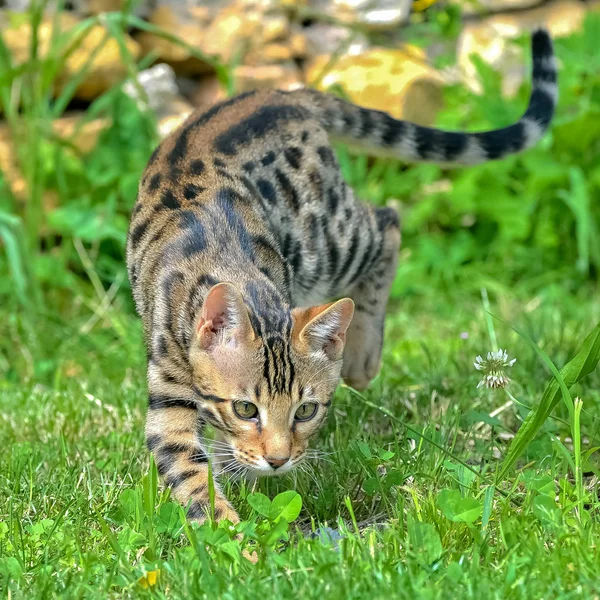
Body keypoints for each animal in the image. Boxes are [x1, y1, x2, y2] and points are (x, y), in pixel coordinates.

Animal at [125, 29, 556, 524]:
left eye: (306, 410)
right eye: (245, 408)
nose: (278, 459)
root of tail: (283, 93)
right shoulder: (168, 393)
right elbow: (189, 471)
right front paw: (230, 527)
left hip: (324, 243)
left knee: (387, 221)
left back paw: (361, 356)